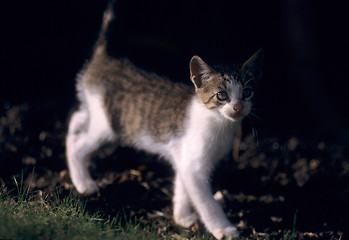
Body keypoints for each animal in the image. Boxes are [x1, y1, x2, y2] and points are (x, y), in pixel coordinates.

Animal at [65, 2, 262, 240]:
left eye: (248, 93)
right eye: (222, 95)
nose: (238, 107)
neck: (218, 122)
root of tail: (105, 59)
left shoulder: (185, 159)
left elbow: (183, 186)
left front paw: (182, 216)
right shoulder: (194, 165)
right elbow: (207, 203)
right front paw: (224, 229)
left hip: (97, 115)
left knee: (77, 118)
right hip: (108, 126)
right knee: (78, 144)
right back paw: (83, 182)